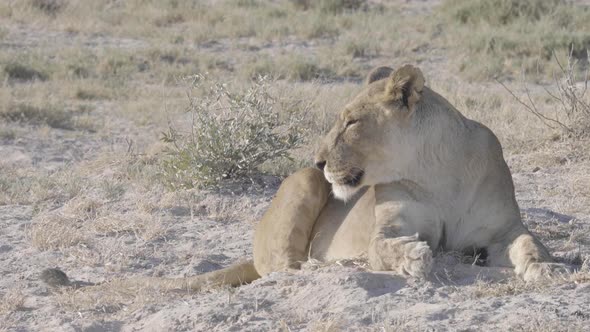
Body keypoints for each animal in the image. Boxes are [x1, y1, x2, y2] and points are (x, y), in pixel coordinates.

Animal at [41, 64, 568, 290]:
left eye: (351, 122)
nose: (317, 159)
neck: (436, 171)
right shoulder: (388, 226)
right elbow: (384, 247)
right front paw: (415, 258)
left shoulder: (503, 229)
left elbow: (530, 243)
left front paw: (546, 269)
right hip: (299, 189)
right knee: (283, 267)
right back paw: (324, 267)